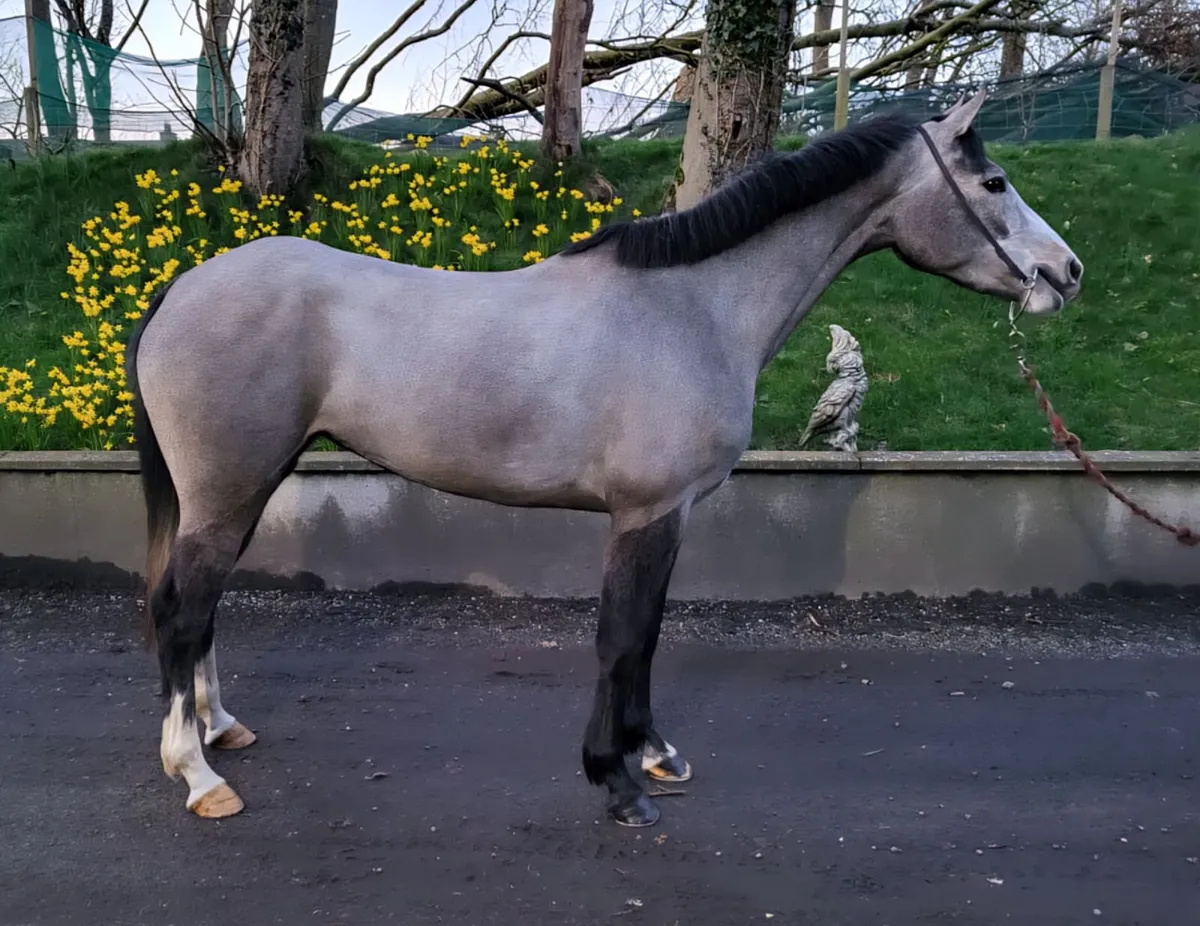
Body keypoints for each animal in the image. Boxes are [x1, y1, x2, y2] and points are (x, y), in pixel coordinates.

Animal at [126, 90, 1082, 828]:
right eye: (994, 182)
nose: (1065, 272)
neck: (693, 307)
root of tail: (182, 286)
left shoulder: (672, 516)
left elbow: (648, 636)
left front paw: (654, 754)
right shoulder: (645, 513)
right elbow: (621, 637)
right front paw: (618, 782)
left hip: (245, 488)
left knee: (201, 610)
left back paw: (219, 728)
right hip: (228, 489)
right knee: (182, 608)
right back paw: (198, 773)